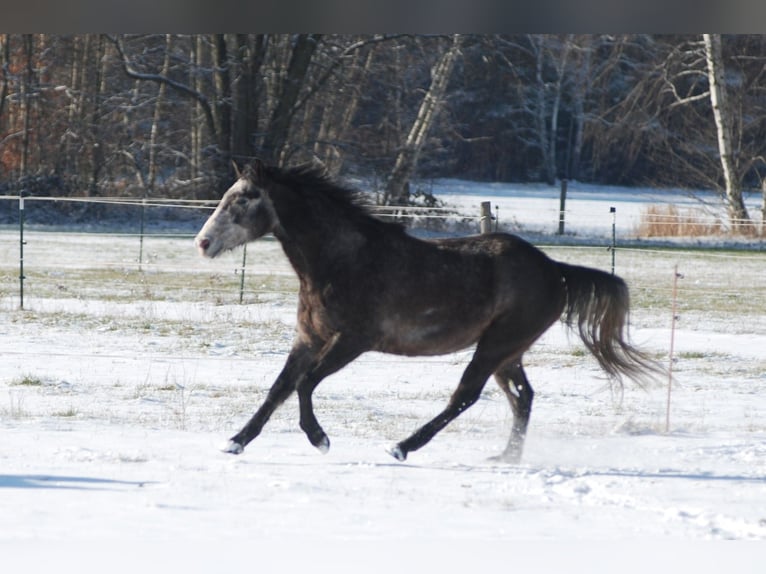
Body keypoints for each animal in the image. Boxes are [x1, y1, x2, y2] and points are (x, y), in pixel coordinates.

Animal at [195, 161, 656, 464]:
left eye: (244, 198)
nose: (203, 242)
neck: (341, 261)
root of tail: (555, 270)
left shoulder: (352, 341)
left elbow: (305, 384)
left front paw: (319, 439)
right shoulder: (309, 339)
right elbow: (278, 389)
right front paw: (235, 441)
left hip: (495, 347)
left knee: (465, 396)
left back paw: (402, 446)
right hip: (508, 353)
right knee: (522, 397)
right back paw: (504, 457)